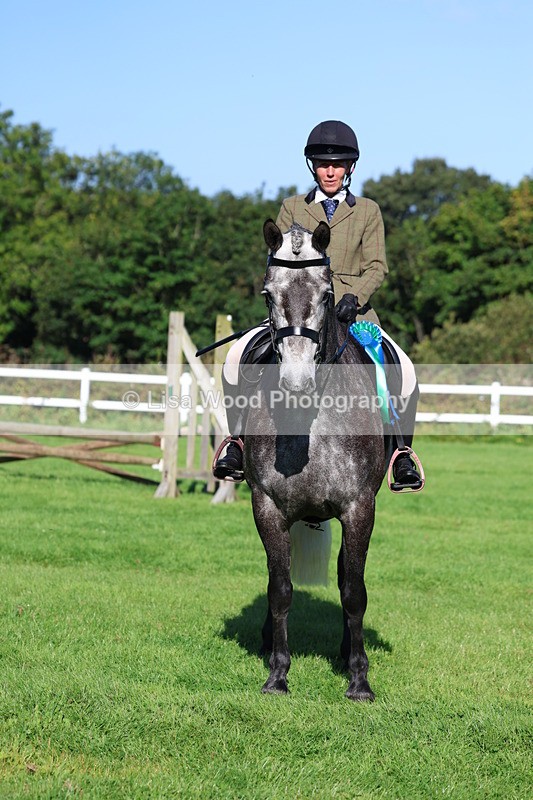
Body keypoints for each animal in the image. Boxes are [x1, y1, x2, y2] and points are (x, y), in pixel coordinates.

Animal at [242, 218, 387, 701]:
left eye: (327, 294)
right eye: (268, 294)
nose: (296, 382)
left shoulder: (359, 508)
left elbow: (354, 591)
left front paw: (359, 681)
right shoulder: (267, 507)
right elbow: (280, 588)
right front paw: (277, 674)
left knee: (346, 577)